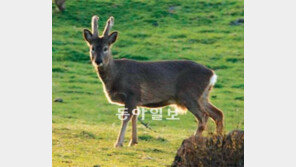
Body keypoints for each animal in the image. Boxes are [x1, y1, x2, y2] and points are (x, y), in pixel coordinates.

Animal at [82, 15, 223, 147]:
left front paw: (118, 143)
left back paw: (194, 141)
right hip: (202, 96)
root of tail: (212, 74)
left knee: (203, 117)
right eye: (92, 48)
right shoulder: (135, 99)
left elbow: (126, 117)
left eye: (106, 48)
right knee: (218, 113)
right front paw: (133, 141)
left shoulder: (132, 93)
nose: (98, 61)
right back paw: (218, 140)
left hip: (189, 95)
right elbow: (135, 116)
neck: (116, 75)